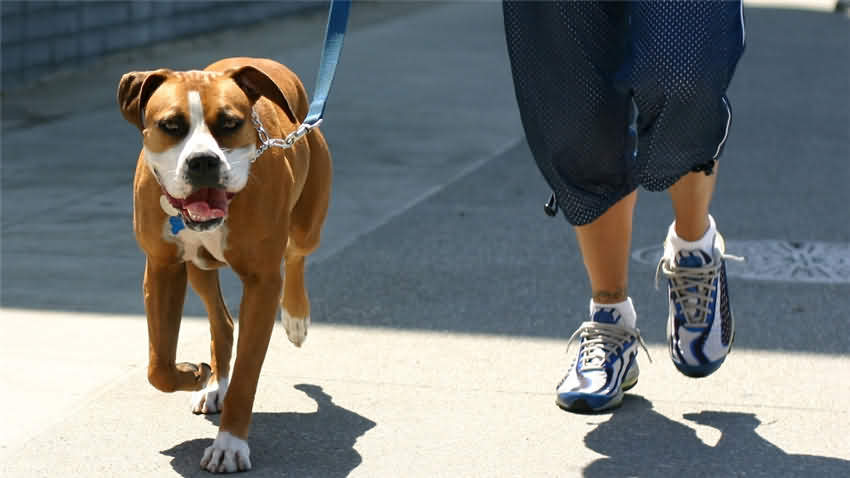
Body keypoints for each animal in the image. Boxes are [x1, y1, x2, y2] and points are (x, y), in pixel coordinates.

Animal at [117, 58, 330, 472]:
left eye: (230, 123)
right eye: (171, 126)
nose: (203, 161)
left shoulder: (263, 283)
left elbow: (247, 375)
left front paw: (230, 444)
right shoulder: (162, 268)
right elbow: (158, 365)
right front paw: (194, 374)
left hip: (307, 225)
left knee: (296, 255)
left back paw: (296, 318)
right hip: (198, 268)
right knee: (223, 322)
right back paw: (214, 383)